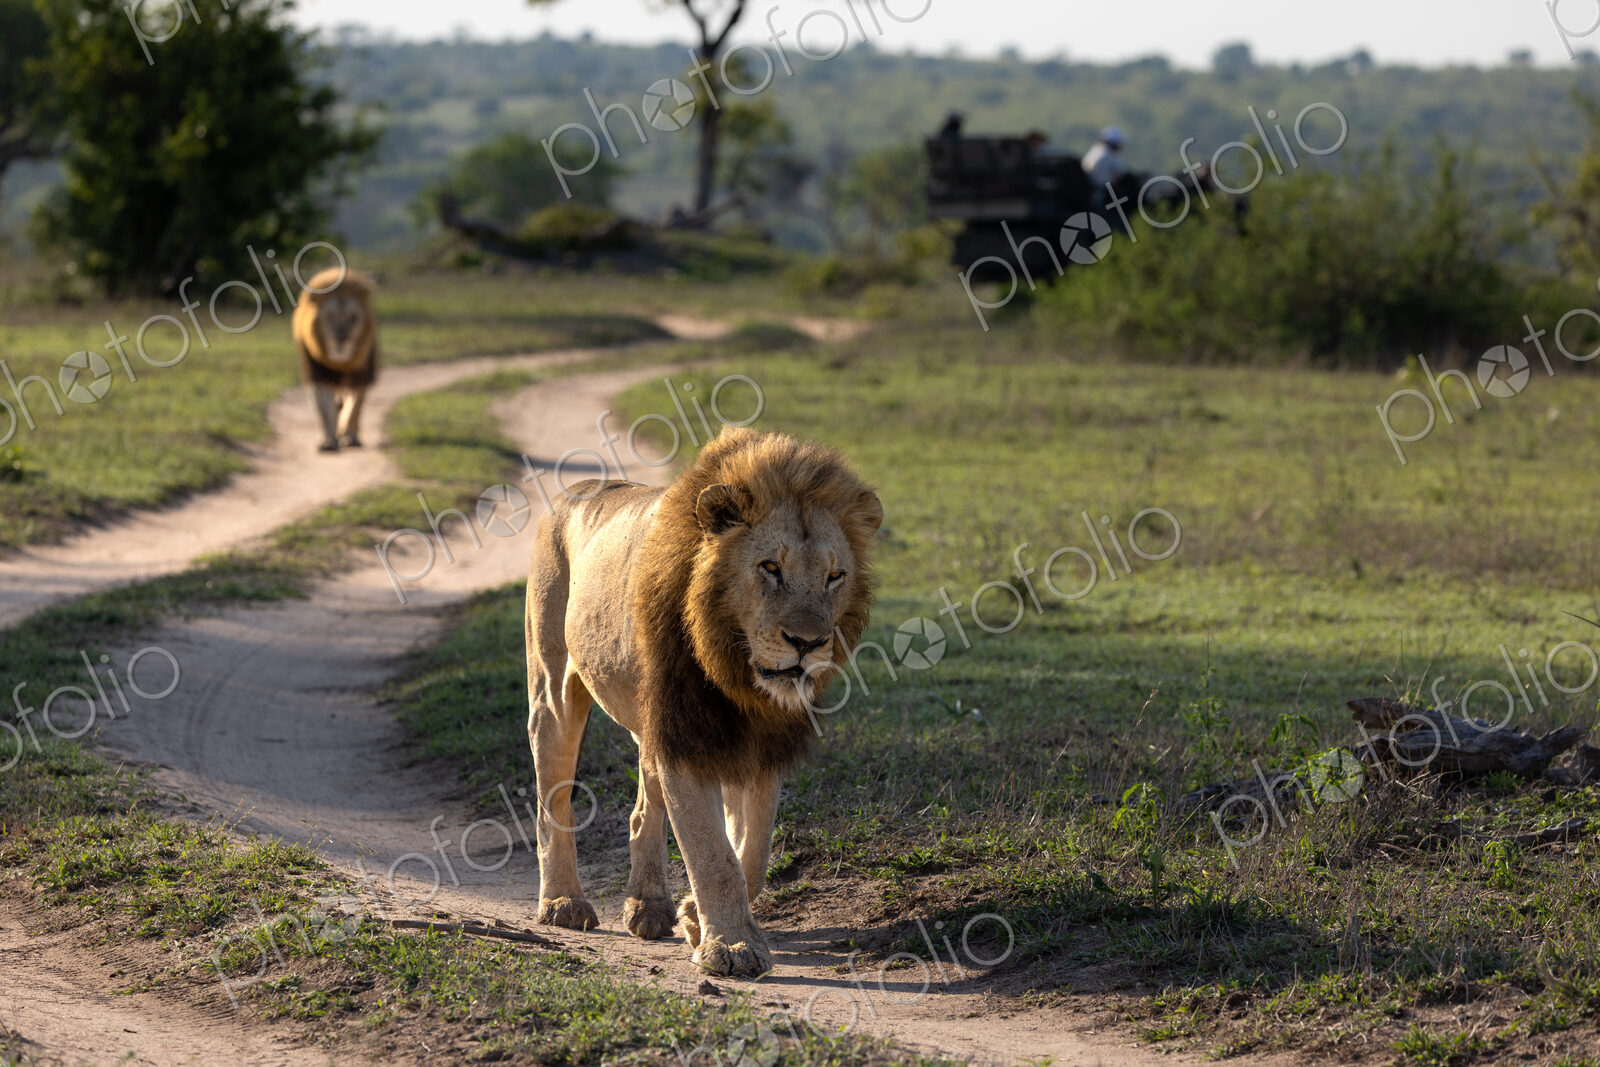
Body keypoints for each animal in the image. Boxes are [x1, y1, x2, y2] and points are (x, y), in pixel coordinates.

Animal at [292, 267, 377, 453]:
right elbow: (325, 410)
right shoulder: (319, 374)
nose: (341, 338)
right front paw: (328, 441)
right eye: (330, 316)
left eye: (353, 317)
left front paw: (350, 438)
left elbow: (354, 410)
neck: (340, 360)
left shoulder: (360, 376)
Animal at [525, 425, 882, 977]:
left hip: (648, 717)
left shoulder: (756, 744)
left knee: (641, 812)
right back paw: (564, 904)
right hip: (553, 690)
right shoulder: (687, 735)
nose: (807, 643)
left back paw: (649, 907)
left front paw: (696, 916)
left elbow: (752, 852)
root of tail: (573, 491)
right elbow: (712, 853)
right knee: (552, 802)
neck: (737, 674)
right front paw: (731, 947)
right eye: (770, 568)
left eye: (834, 576)